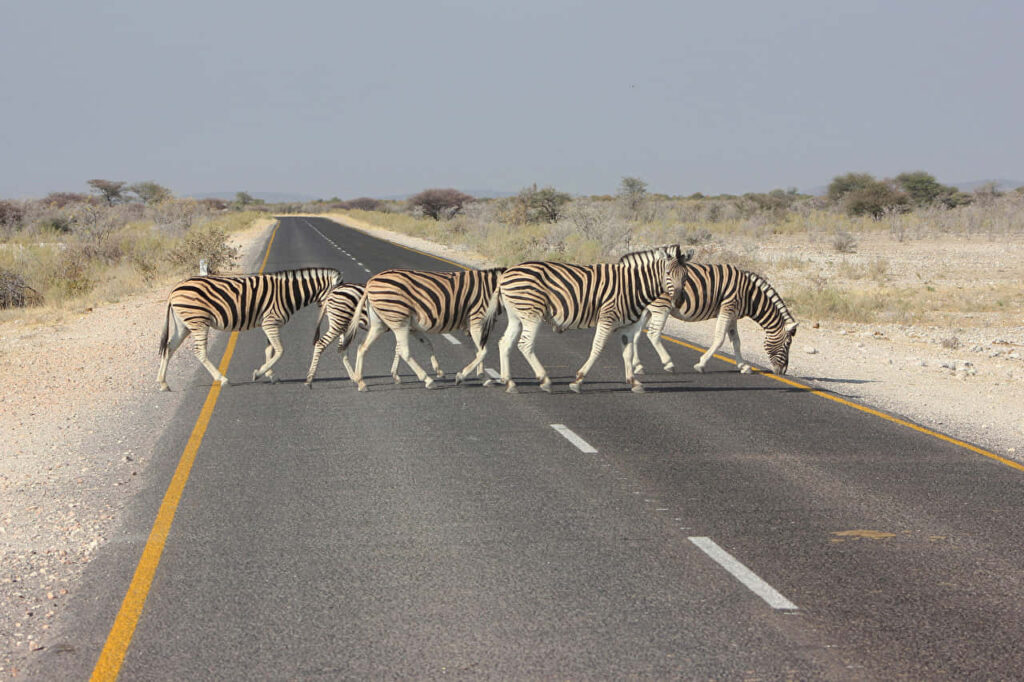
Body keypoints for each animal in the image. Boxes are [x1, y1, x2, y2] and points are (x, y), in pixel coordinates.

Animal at [158, 267, 342, 391]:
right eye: (337, 293)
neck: (288, 294)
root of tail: (175, 289)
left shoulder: (270, 325)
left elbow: (270, 350)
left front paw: (270, 375)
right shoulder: (271, 323)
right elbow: (280, 350)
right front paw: (259, 373)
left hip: (184, 324)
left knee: (169, 347)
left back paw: (163, 383)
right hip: (198, 322)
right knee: (199, 351)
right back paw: (223, 379)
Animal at [304, 282, 444, 386]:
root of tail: (332, 292)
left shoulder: (409, 329)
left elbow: (426, 344)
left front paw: (438, 370)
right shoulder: (405, 327)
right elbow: (400, 350)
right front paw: (396, 375)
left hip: (344, 325)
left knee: (341, 349)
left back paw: (354, 377)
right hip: (339, 322)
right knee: (321, 344)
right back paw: (310, 379)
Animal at [345, 267, 506, 391]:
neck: (492, 290)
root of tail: (370, 282)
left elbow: (479, 351)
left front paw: (483, 377)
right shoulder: (477, 321)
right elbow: (482, 352)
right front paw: (463, 376)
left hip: (380, 323)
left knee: (362, 347)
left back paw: (360, 382)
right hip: (398, 320)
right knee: (404, 352)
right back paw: (428, 380)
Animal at [496, 246, 691, 394]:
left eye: (686, 275)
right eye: (668, 273)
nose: (679, 300)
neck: (633, 286)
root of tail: (506, 273)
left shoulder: (627, 326)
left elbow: (628, 352)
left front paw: (634, 382)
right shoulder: (607, 318)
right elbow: (597, 348)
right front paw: (578, 381)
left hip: (516, 316)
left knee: (504, 342)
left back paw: (509, 382)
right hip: (532, 313)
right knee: (525, 344)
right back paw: (544, 380)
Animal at [631, 262, 798, 375]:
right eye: (787, 344)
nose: (782, 372)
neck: (749, 295)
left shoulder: (733, 314)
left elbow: (736, 341)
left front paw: (744, 366)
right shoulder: (727, 308)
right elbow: (720, 338)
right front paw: (701, 364)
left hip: (647, 310)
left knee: (636, 335)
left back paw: (638, 366)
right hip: (661, 307)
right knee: (653, 334)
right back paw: (668, 363)